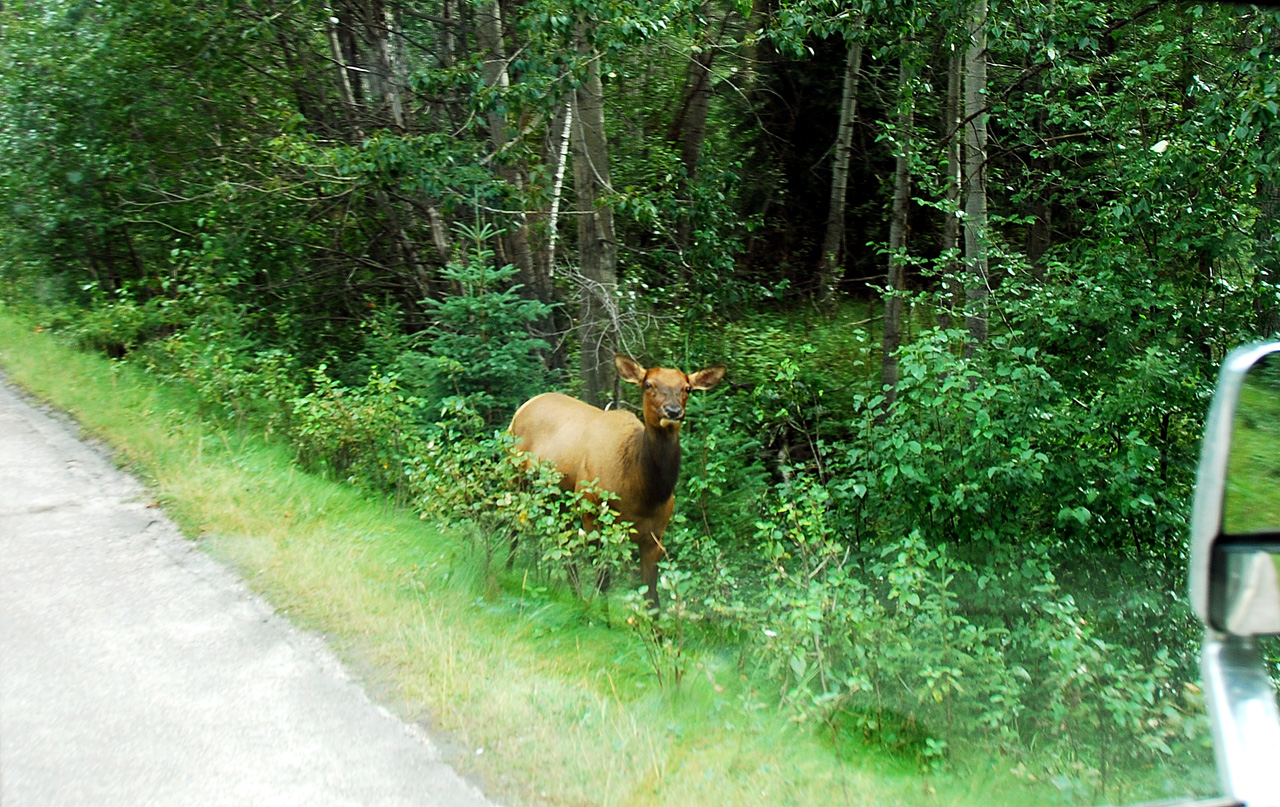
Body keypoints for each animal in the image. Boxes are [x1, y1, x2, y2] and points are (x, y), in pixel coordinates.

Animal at [512, 356, 732, 607]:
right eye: (649, 385)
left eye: (687, 388)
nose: (673, 411)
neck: (642, 493)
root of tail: (525, 405)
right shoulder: (593, 514)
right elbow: (603, 579)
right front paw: (598, 614)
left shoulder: (656, 535)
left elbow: (652, 596)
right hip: (515, 476)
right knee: (510, 525)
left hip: (560, 501)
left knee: (564, 547)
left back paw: (575, 595)